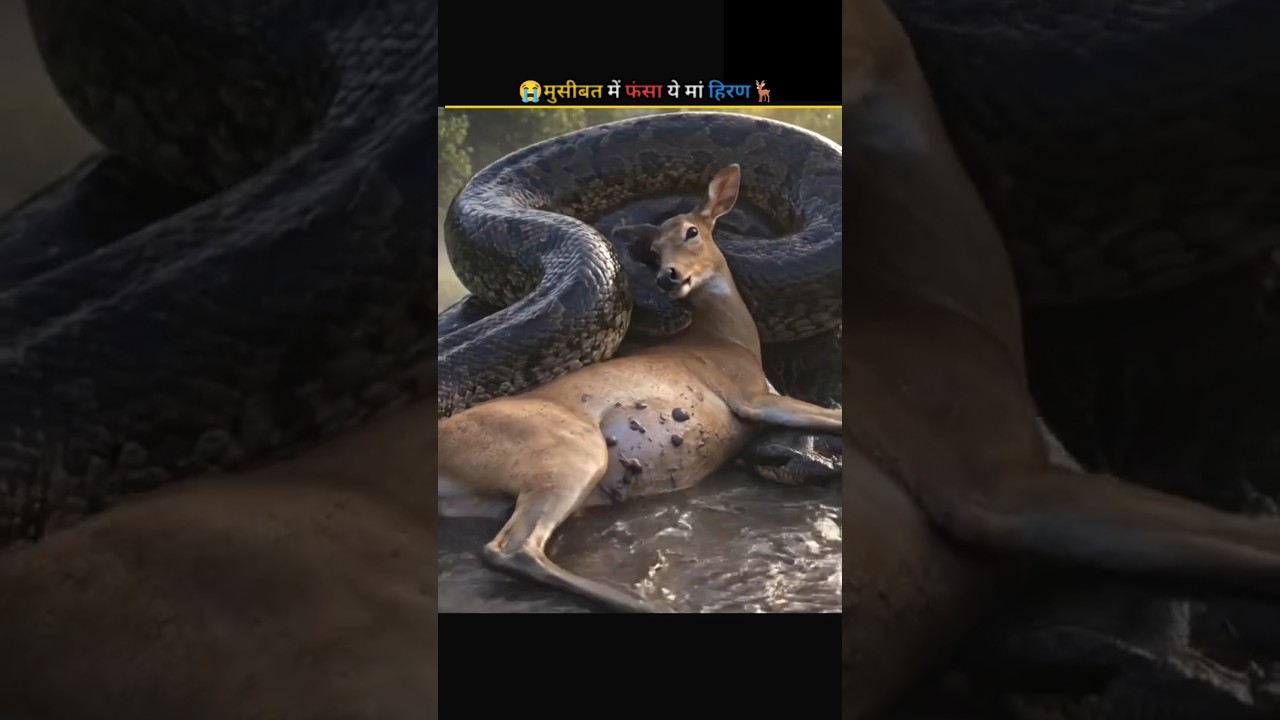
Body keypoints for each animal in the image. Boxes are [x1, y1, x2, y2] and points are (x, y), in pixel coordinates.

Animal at [437, 163, 842, 613]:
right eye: (655, 251)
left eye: (691, 232)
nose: (669, 277)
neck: (728, 338)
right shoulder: (754, 397)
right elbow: (832, 416)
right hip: (573, 454)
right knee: (511, 548)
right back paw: (640, 601)